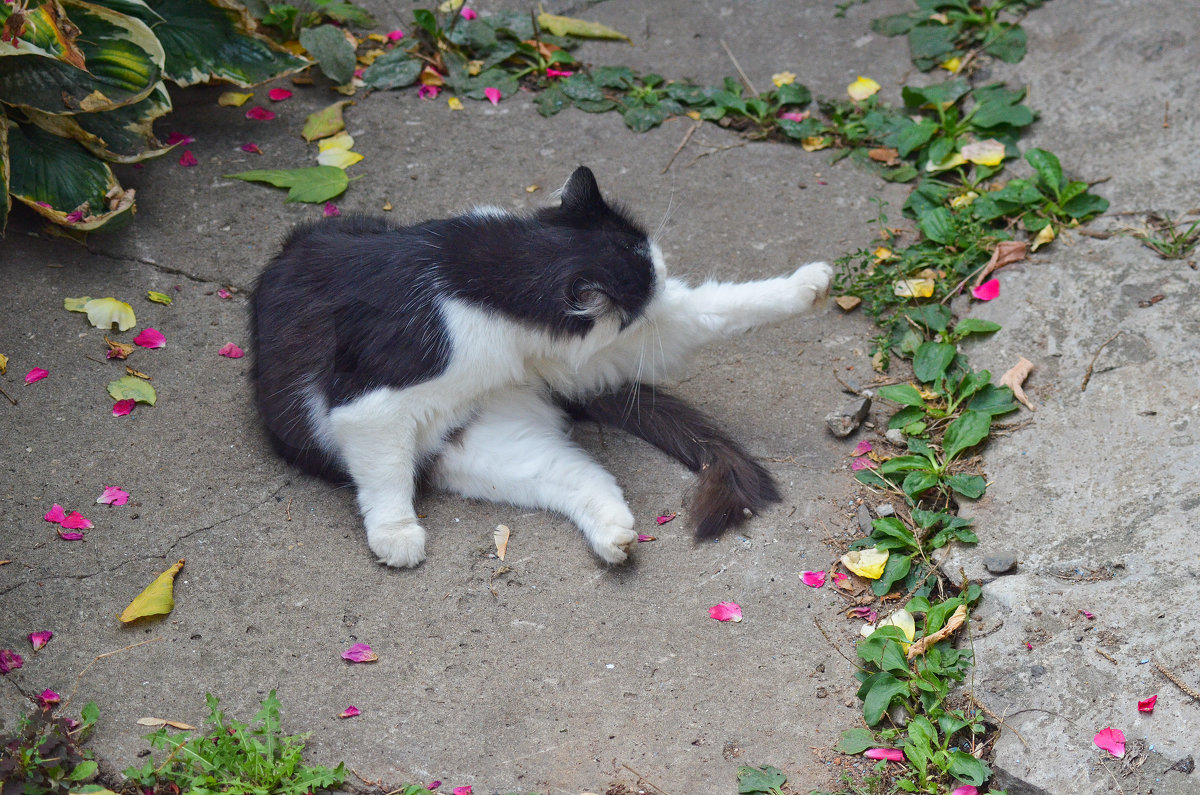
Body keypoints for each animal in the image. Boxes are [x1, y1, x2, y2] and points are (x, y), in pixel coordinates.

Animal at [250, 166, 835, 566]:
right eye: (650, 281)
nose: (666, 279)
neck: (484, 284)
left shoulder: (601, 347)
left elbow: (720, 307)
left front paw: (806, 285)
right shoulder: (368, 406)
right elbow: (383, 476)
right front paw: (396, 536)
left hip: (501, 441)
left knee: (578, 477)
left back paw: (615, 536)